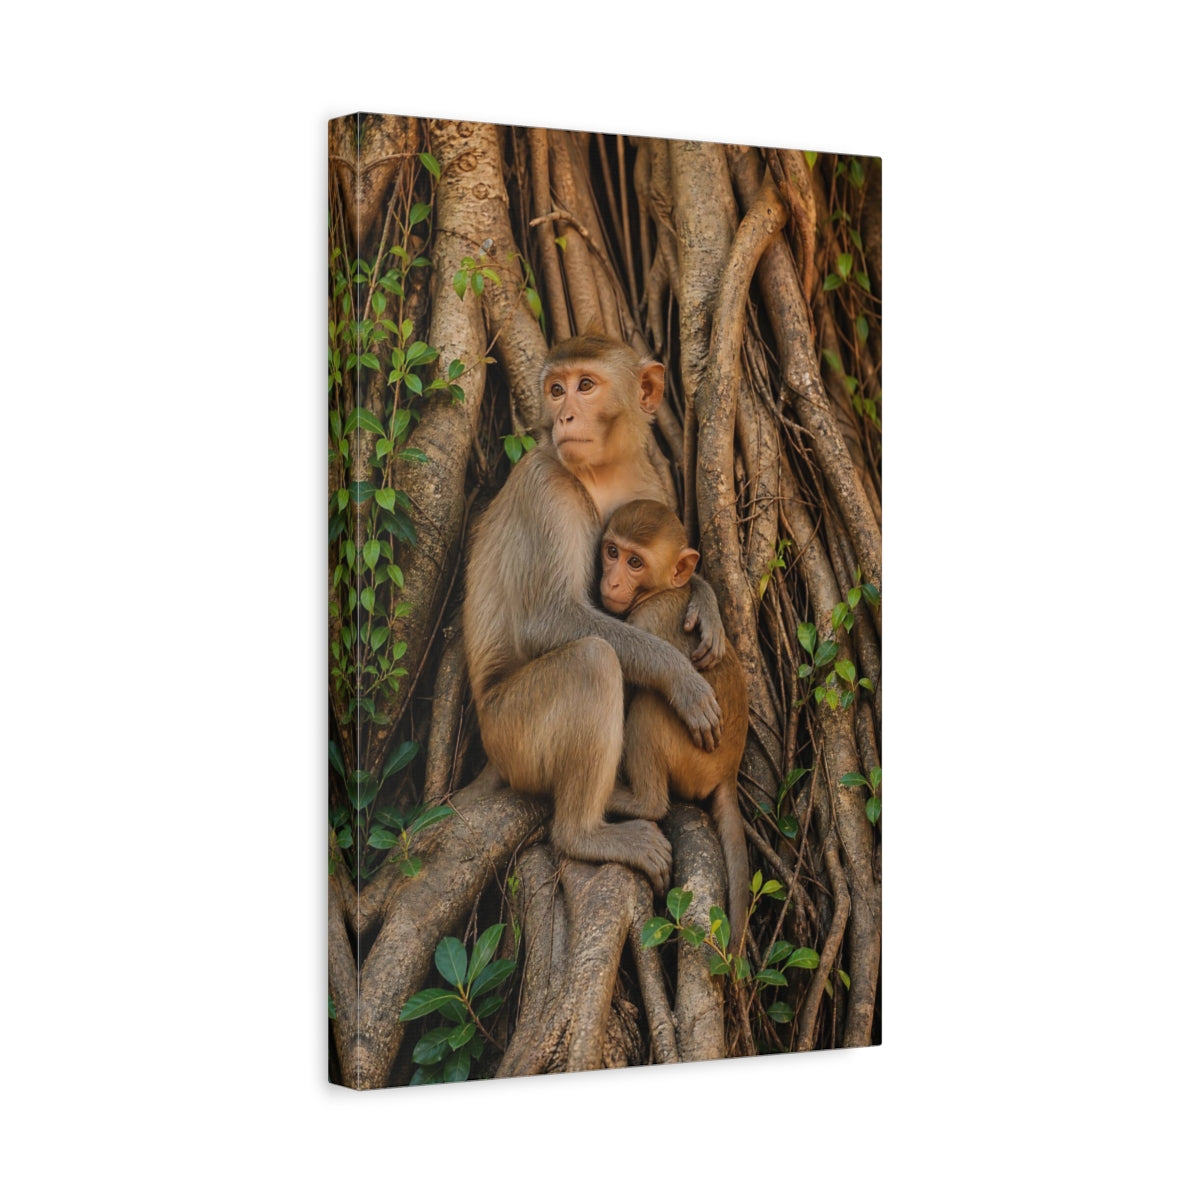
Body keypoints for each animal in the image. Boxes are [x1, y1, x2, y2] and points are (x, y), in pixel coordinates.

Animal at [462, 335, 728, 895]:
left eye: (585, 386)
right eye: (556, 389)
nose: (563, 415)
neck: (602, 474)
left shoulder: (651, 481)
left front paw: (704, 601)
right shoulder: (546, 486)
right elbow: (548, 621)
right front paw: (680, 677)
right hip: (510, 733)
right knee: (592, 660)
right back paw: (584, 834)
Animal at [599, 499, 751, 950]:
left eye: (634, 562)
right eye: (612, 552)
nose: (611, 580)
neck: (663, 591)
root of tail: (728, 771)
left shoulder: (645, 619)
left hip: (693, 756)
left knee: (650, 704)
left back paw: (639, 803)